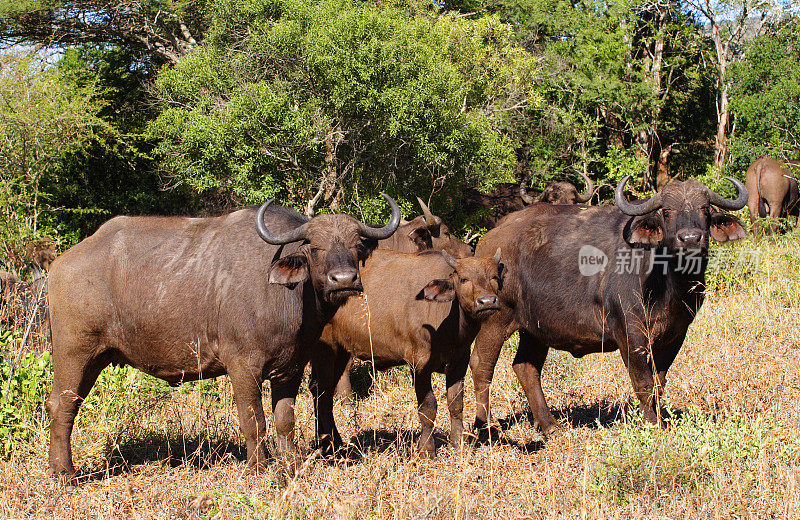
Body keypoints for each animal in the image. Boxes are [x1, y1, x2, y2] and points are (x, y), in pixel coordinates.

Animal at [45, 194, 400, 476]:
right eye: (314, 247)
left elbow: (284, 420)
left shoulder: (290, 367)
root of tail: (60, 264)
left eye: (357, 245)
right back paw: (65, 473)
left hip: (96, 357)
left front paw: (291, 464)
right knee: (61, 405)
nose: (344, 279)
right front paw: (259, 467)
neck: (284, 295)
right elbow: (253, 419)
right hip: (73, 352)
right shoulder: (242, 367)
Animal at [310, 248, 500, 456]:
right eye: (464, 279)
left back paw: (330, 442)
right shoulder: (419, 364)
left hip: (342, 351)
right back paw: (330, 445)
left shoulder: (459, 362)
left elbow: (456, 403)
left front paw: (457, 444)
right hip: (325, 351)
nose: (487, 302)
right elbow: (428, 407)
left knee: (321, 392)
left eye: (494, 277)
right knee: (322, 394)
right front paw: (426, 449)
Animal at [468, 176, 752, 438]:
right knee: (481, 365)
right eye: (667, 211)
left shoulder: (676, 333)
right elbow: (643, 382)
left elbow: (659, 382)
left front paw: (660, 420)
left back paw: (550, 426)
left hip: (535, 328)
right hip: (496, 319)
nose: (691, 238)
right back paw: (487, 427)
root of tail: (489, 240)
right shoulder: (630, 332)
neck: (667, 282)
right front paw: (653, 426)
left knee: (526, 367)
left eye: (705, 208)